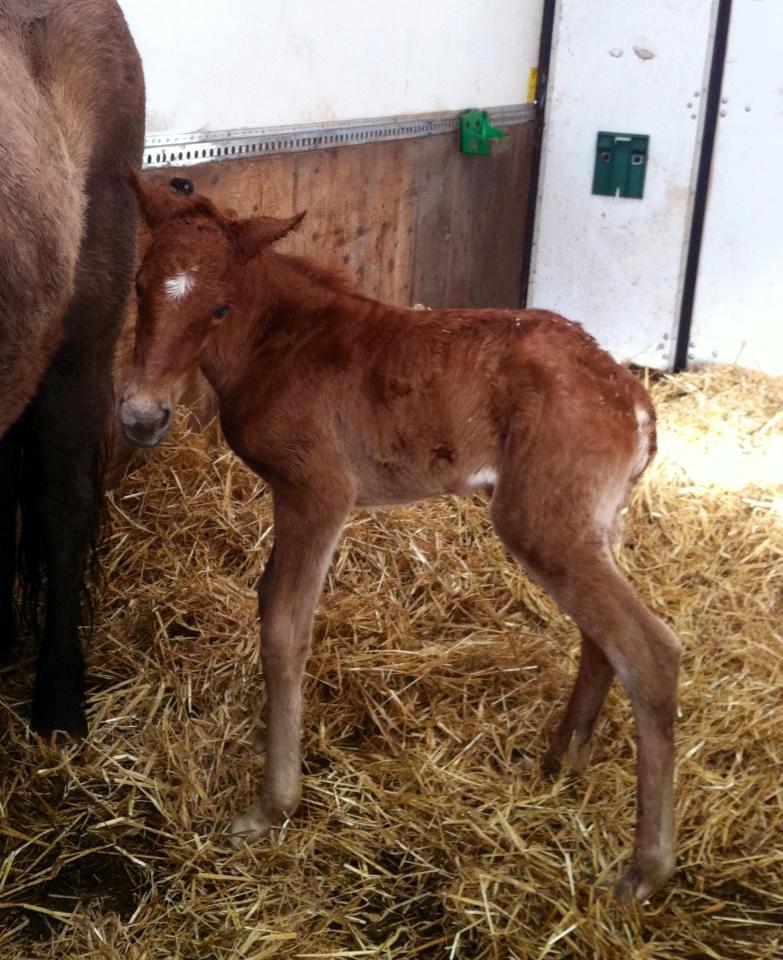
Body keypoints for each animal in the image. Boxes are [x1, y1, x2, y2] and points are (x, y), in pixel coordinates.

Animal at [121, 174, 680, 900]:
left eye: (219, 307)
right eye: (138, 287)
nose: (141, 417)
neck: (282, 340)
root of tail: (634, 402)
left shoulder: (318, 491)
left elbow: (284, 627)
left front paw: (273, 806)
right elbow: (269, 602)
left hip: (543, 524)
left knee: (648, 649)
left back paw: (645, 869)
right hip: (593, 524)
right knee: (602, 637)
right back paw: (560, 761)